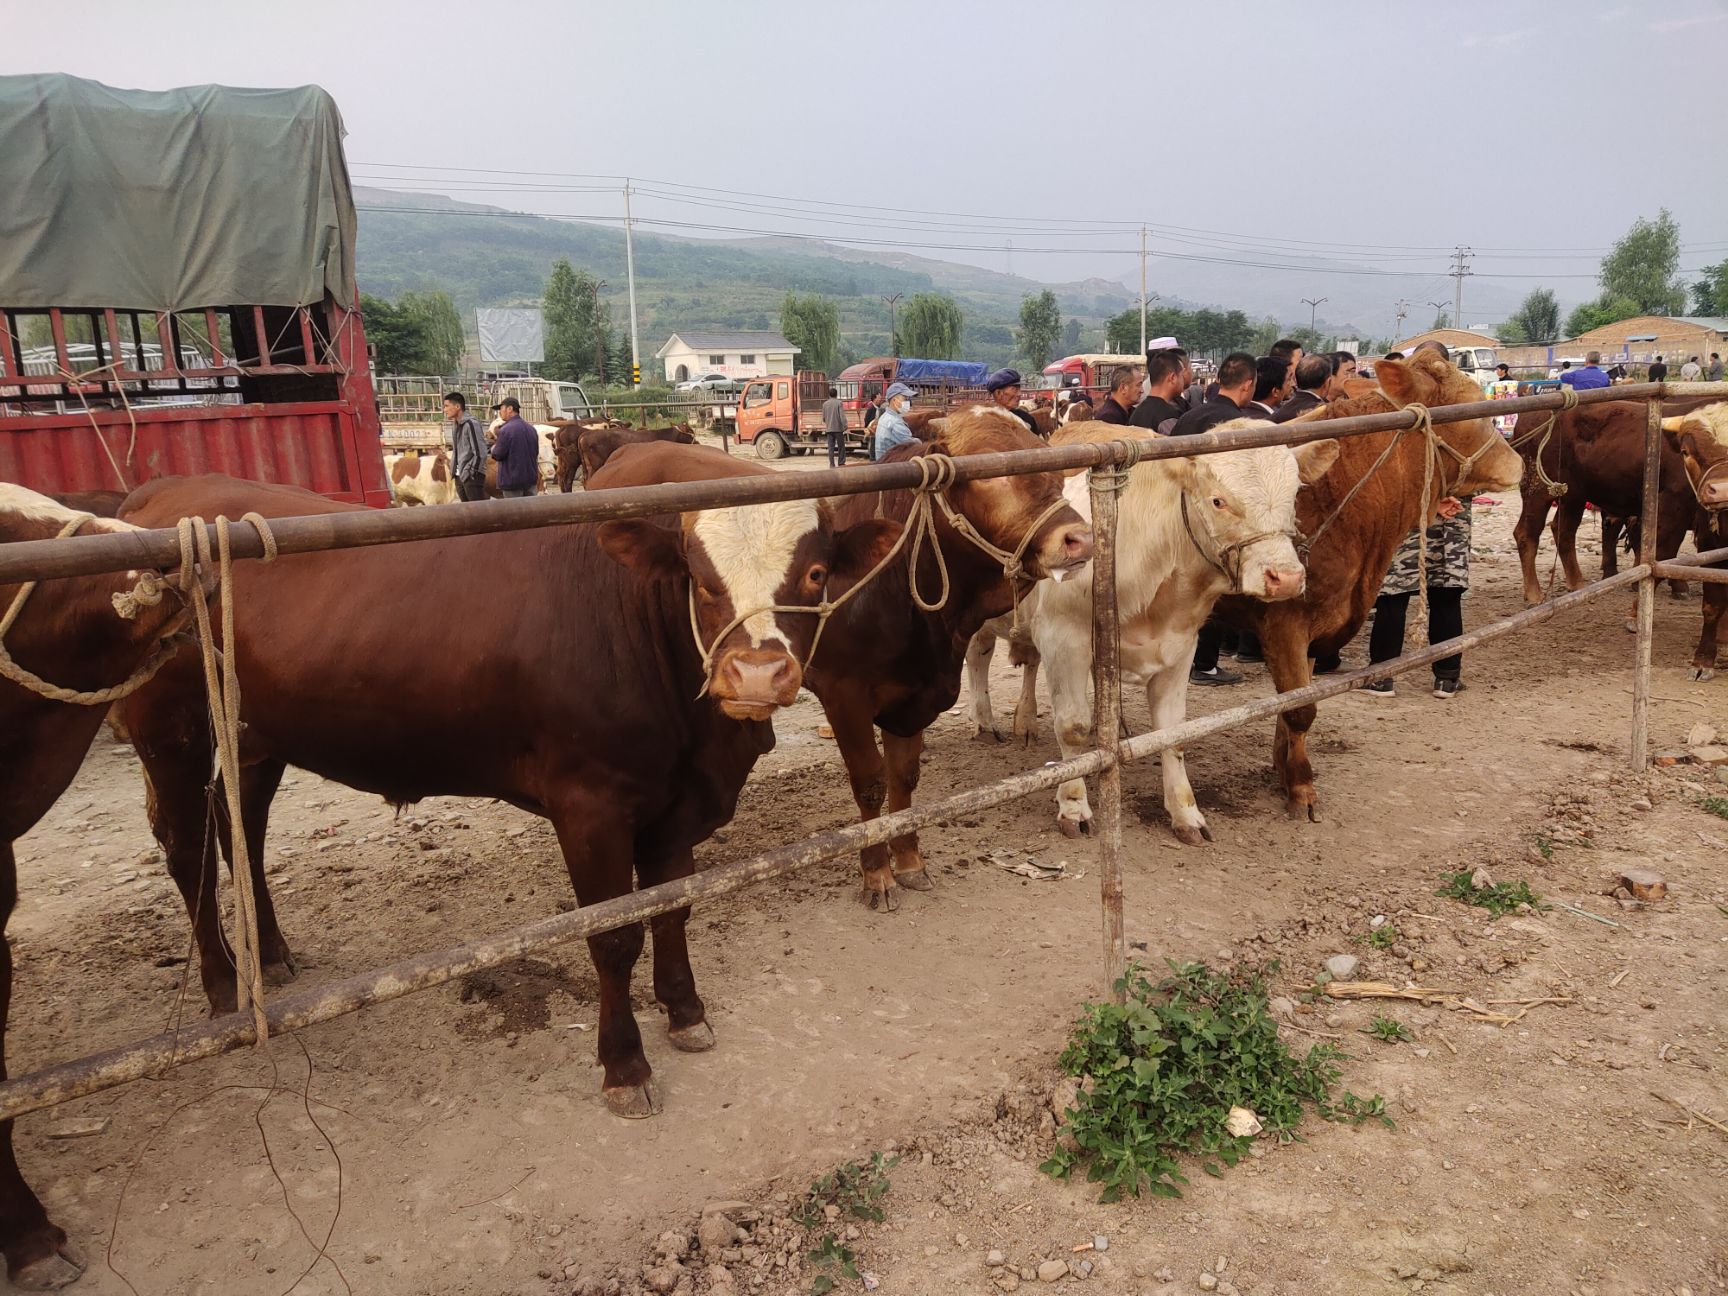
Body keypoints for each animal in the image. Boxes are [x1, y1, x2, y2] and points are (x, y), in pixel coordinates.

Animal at [118, 452, 905, 1126]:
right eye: (700, 578)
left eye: (814, 575)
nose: (756, 675)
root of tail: (160, 494)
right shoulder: (590, 807)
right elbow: (614, 935)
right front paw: (625, 1067)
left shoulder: (673, 805)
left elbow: (671, 909)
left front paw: (685, 1011)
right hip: (171, 733)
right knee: (188, 846)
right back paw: (223, 985)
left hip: (254, 738)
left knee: (242, 832)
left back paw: (273, 953)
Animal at [801, 411, 1085, 905]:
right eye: (989, 470)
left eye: (1049, 466)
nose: (1079, 538)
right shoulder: (842, 695)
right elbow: (870, 783)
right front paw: (876, 874)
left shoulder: (913, 698)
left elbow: (903, 776)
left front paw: (909, 861)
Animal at [1029, 418, 1340, 843]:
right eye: (1218, 501)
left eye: (1294, 494)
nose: (1287, 578)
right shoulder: (1062, 639)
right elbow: (1072, 727)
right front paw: (1074, 806)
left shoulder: (1179, 646)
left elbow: (1172, 732)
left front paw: (1185, 813)